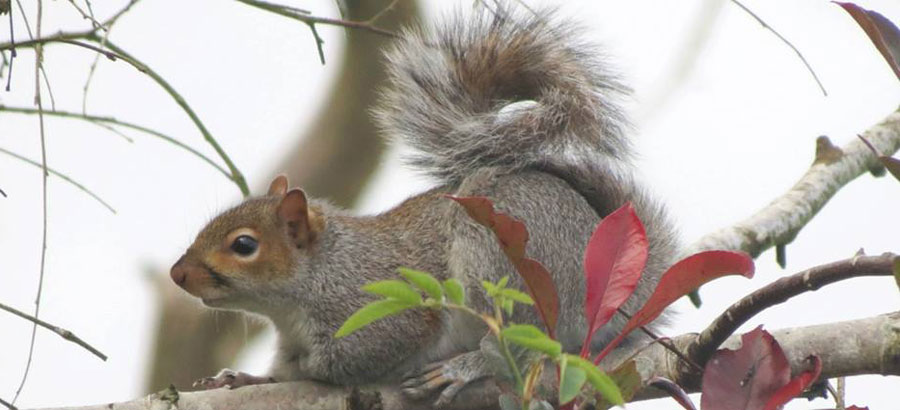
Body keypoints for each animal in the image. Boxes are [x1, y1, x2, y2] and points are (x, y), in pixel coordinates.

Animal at [169, 5, 680, 406]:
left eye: (244, 245)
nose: (178, 275)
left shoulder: (381, 306)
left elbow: (358, 353)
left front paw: (314, 367)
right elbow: (279, 371)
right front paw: (244, 377)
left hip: (506, 267)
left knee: (524, 343)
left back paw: (466, 366)